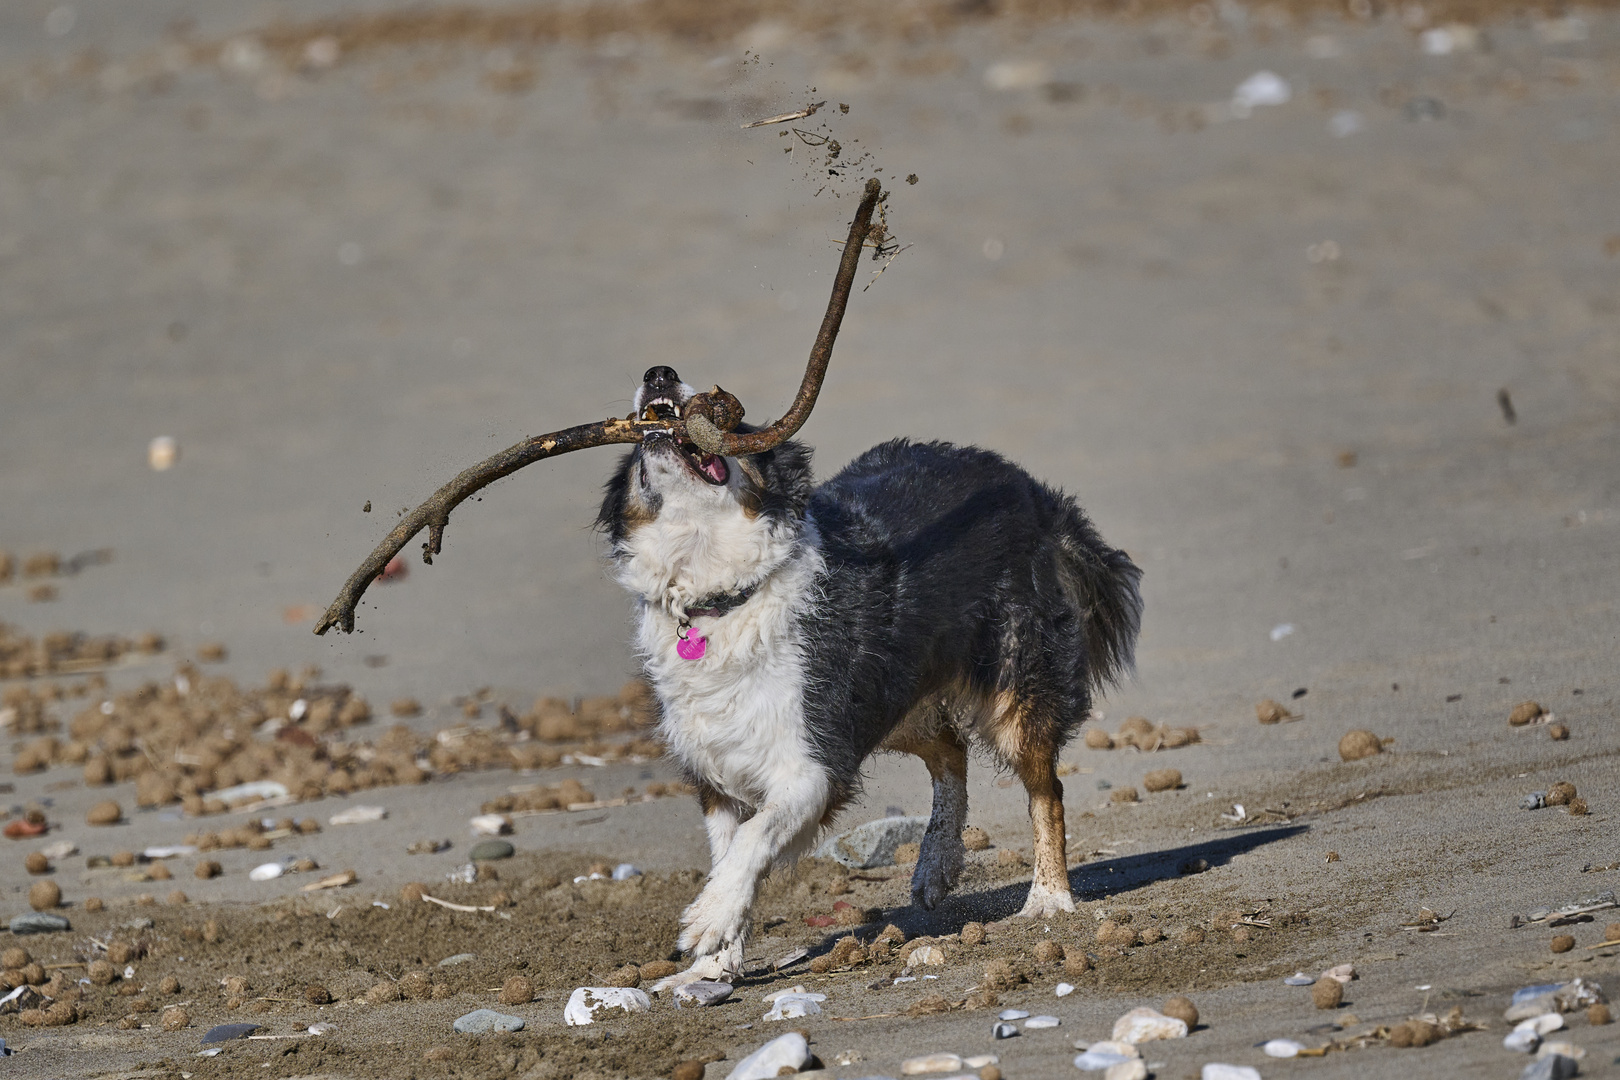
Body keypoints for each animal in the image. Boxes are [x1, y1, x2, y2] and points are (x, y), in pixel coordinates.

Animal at [596, 365, 1140, 990]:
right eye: (633, 460)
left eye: (743, 424)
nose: (659, 373)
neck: (719, 597)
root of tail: (1029, 486)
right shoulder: (716, 768)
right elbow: (728, 853)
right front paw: (711, 965)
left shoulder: (814, 759)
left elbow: (755, 838)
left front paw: (708, 921)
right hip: (889, 692)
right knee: (949, 751)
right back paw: (936, 865)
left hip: (1010, 686)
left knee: (1044, 788)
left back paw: (1048, 898)